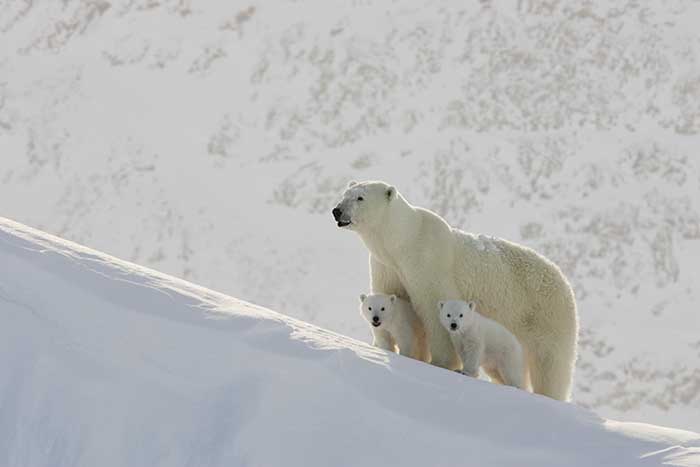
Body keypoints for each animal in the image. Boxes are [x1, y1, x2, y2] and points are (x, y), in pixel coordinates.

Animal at [334, 181, 580, 400]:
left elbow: (434, 310)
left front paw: (440, 362)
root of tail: (564, 282)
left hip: (545, 315)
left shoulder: (427, 263)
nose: (337, 211)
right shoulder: (386, 266)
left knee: (550, 365)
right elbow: (396, 305)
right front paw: (382, 346)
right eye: (345, 194)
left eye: (360, 197)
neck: (403, 242)